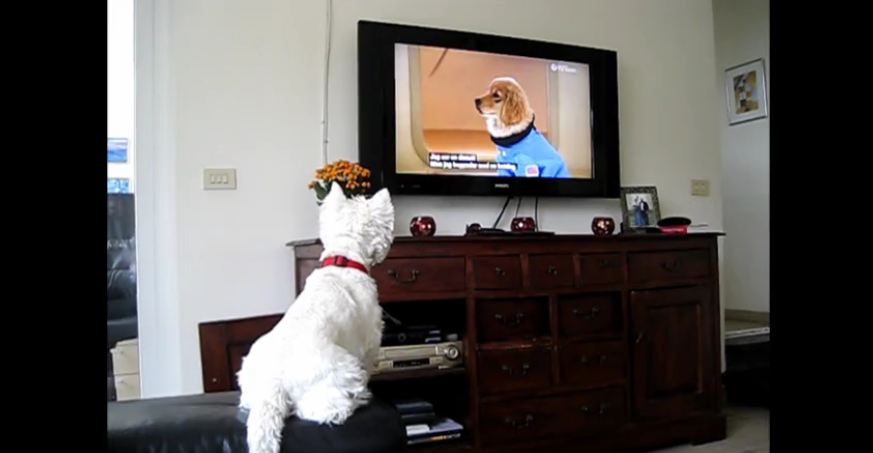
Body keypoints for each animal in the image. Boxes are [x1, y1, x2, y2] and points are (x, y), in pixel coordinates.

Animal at [235, 182, 392, 452]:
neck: (344, 261)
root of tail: (273, 383)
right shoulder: (371, 339)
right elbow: (371, 360)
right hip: (340, 370)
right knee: (322, 411)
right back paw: (359, 398)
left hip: (249, 375)